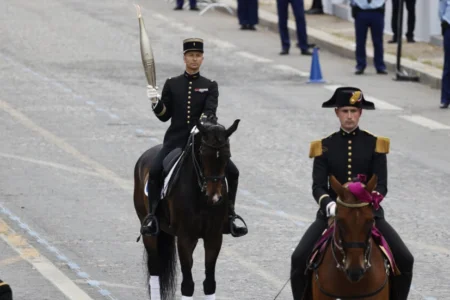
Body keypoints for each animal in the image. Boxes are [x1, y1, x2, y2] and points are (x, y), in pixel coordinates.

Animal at [133, 119, 239, 300]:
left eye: (227, 155)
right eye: (203, 153)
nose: (215, 197)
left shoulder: (214, 237)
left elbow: (209, 283)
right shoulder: (185, 238)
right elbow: (187, 285)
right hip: (149, 230)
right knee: (155, 269)